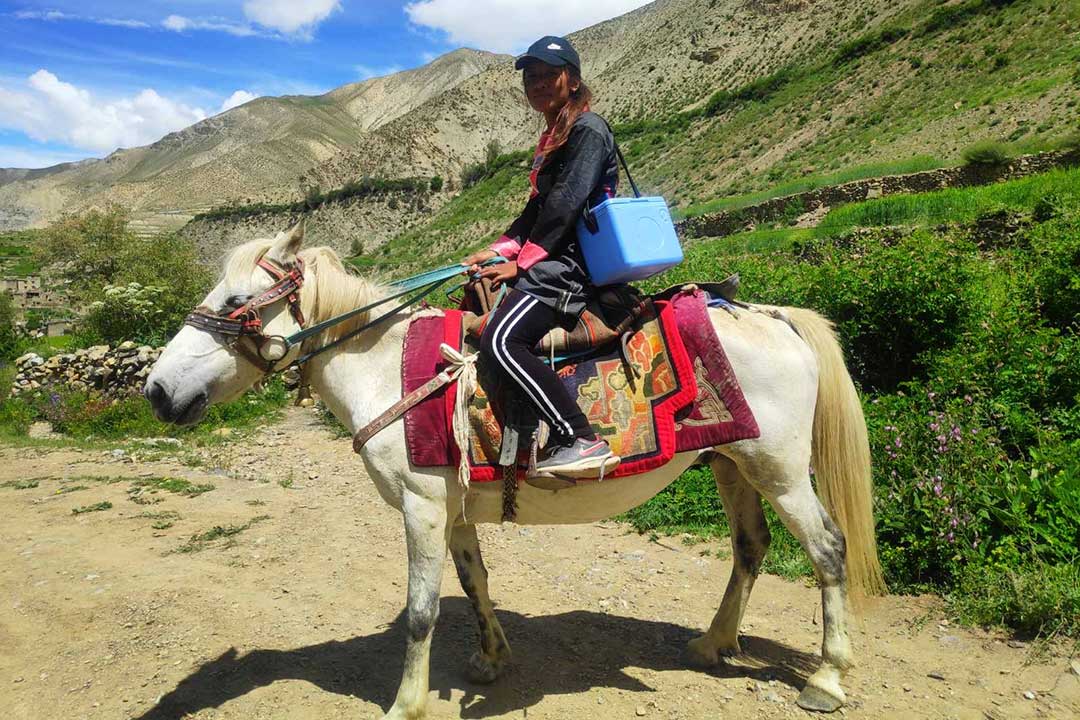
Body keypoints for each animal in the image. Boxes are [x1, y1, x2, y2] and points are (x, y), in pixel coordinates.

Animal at [145, 223, 885, 716]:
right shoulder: (452, 510)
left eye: (236, 301)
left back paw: (827, 679)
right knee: (750, 546)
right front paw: (491, 659)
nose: (155, 390)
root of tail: (776, 316)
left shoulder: (420, 507)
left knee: (828, 550)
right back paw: (711, 644)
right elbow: (475, 583)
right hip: (730, 462)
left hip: (780, 470)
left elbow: (420, 612)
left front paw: (406, 704)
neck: (385, 367)